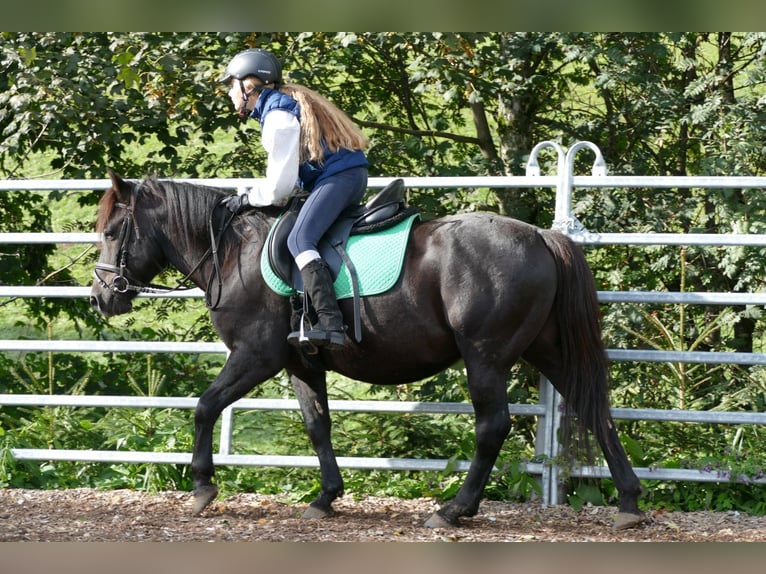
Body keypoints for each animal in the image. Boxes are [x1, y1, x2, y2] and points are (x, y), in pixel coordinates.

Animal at [88, 170, 648, 532]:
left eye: (112, 231)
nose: (101, 296)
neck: (232, 251)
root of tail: (540, 235)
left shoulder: (255, 356)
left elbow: (205, 406)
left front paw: (203, 487)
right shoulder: (300, 363)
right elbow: (317, 425)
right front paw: (326, 497)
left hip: (485, 357)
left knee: (493, 427)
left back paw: (454, 510)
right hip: (545, 350)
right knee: (596, 410)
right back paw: (629, 502)